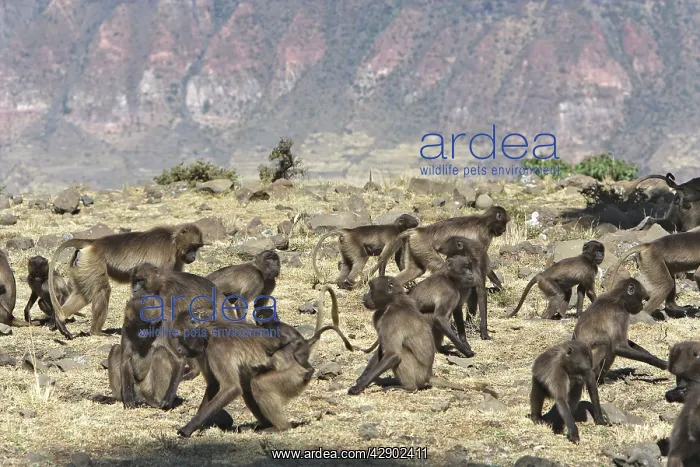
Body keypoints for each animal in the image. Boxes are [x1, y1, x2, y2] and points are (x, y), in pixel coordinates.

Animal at [49, 224, 204, 339]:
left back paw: (60, 319)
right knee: (102, 290)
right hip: (93, 261)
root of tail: (94, 242)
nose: (193, 257)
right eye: (193, 247)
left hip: (82, 264)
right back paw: (96, 331)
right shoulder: (167, 256)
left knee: (83, 295)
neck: (173, 239)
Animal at [366, 206, 510, 289]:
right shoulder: (483, 237)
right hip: (423, 246)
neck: (485, 222)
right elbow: (481, 262)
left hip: (416, 245)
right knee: (441, 268)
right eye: (504, 222)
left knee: (416, 270)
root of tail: (418, 231)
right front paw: (499, 286)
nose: (504, 230)